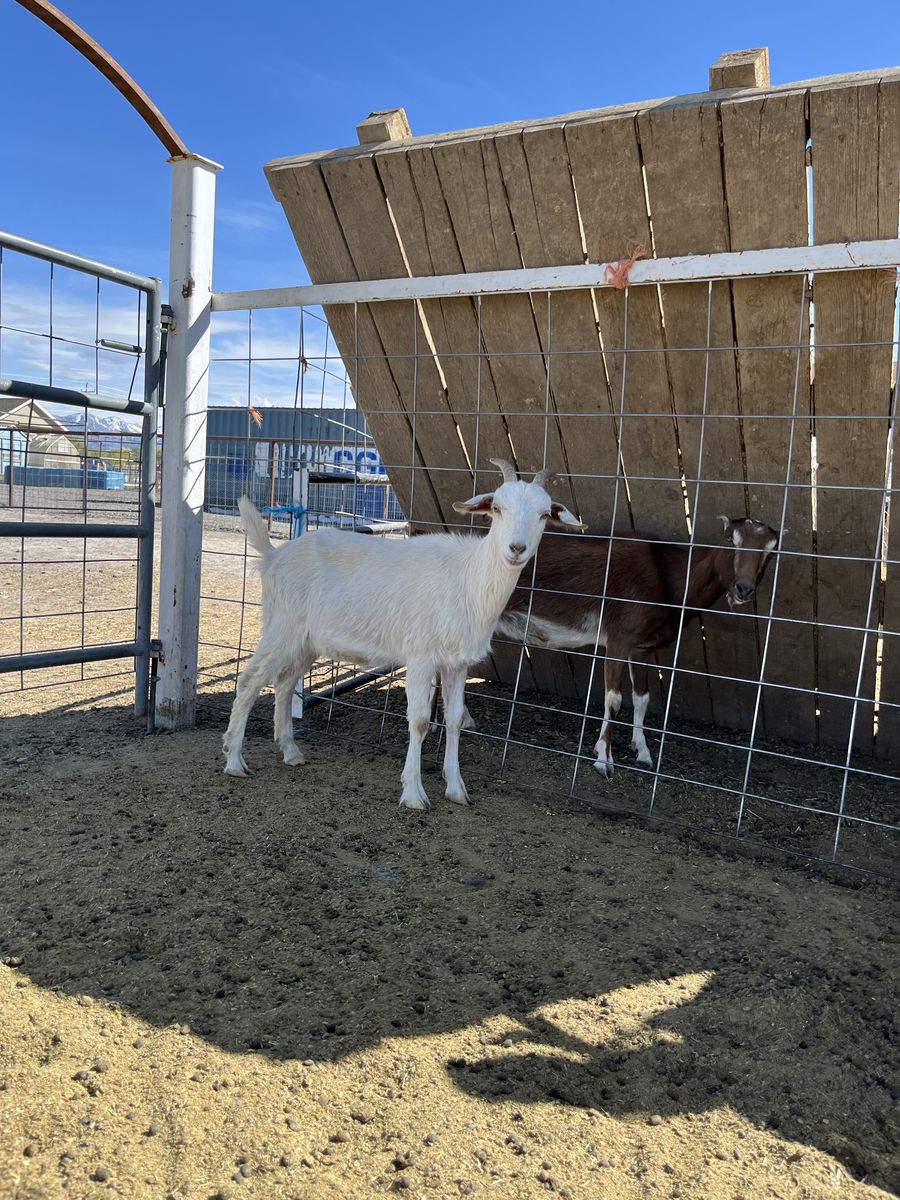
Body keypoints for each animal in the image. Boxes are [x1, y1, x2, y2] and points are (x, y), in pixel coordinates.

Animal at [222, 460, 584, 809]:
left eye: (544, 513)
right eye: (496, 507)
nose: (516, 548)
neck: (467, 579)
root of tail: (274, 555)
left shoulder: (457, 664)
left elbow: (454, 720)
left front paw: (457, 790)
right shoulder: (421, 656)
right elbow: (421, 721)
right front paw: (413, 794)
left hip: (306, 641)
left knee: (284, 683)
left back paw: (290, 751)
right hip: (282, 627)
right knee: (250, 680)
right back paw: (235, 760)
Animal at [460, 516, 778, 776]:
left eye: (771, 550)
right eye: (730, 540)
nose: (744, 589)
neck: (667, 577)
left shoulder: (644, 647)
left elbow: (642, 697)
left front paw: (643, 752)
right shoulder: (619, 638)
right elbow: (613, 698)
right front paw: (604, 759)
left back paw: (464, 720)